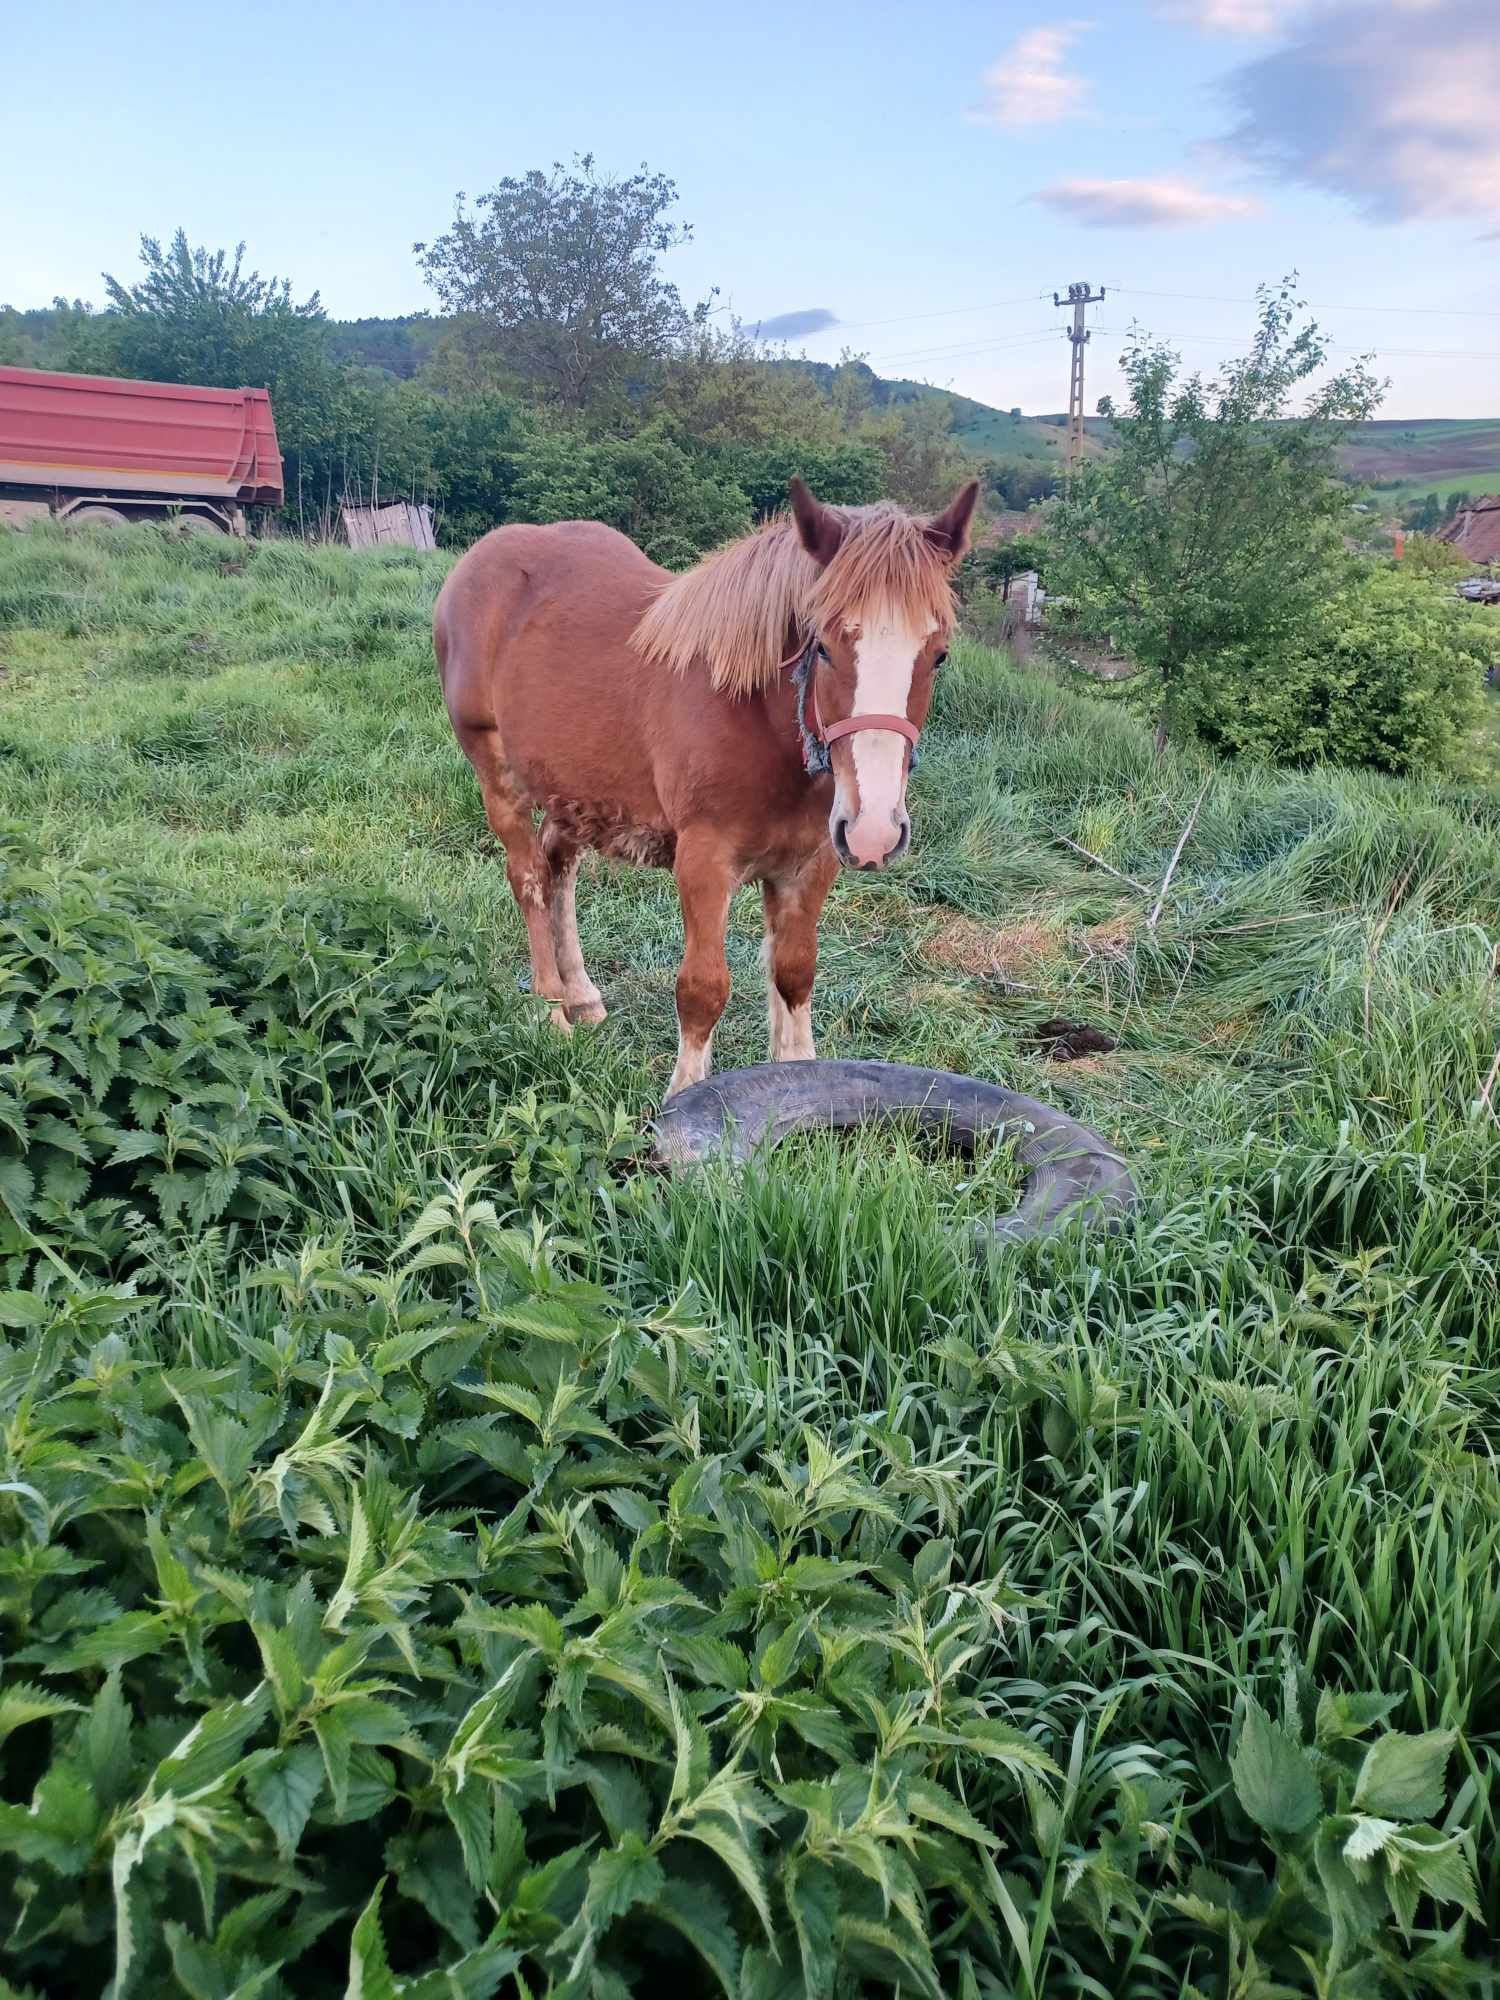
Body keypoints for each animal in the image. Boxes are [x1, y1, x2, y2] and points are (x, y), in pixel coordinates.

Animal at [428, 472, 980, 1096]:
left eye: (938, 655)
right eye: (821, 645)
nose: (873, 834)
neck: (758, 719)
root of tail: (475, 561)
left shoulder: (809, 865)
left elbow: (794, 973)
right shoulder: (704, 862)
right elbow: (703, 989)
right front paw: (683, 1096)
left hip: (573, 789)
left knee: (557, 867)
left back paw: (581, 995)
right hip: (496, 769)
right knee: (527, 878)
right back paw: (550, 1009)